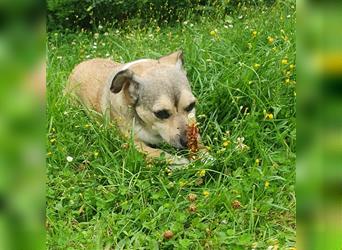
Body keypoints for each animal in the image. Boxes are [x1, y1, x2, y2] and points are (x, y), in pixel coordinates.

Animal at [66, 50, 199, 164]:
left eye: (191, 105)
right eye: (161, 113)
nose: (188, 142)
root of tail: (79, 65)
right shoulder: (132, 143)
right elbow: (157, 153)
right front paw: (179, 162)